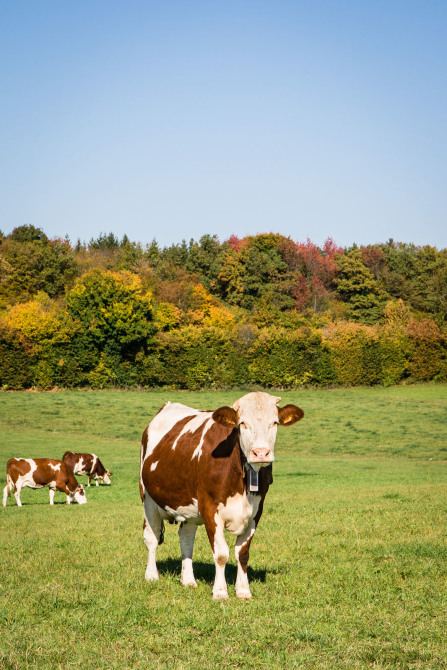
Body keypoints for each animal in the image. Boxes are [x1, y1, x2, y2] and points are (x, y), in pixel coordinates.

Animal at [140, 392, 304, 600]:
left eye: (274, 422)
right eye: (242, 423)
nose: (260, 453)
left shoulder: (255, 512)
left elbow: (242, 553)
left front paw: (243, 590)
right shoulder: (210, 509)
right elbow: (221, 554)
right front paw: (220, 592)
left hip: (189, 507)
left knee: (186, 538)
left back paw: (188, 580)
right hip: (148, 499)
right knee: (151, 537)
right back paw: (151, 576)